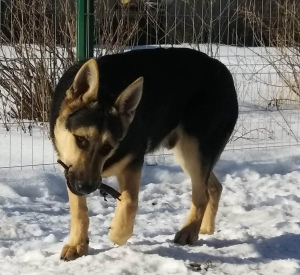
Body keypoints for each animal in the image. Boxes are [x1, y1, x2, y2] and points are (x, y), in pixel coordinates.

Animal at [49, 48, 239, 262]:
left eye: (108, 147)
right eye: (80, 139)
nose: (87, 187)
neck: (106, 89)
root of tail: (223, 69)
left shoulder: (133, 162)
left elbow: (130, 202)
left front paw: (118, 233)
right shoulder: (70, 169)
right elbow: (79, 210)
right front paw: (77, 244)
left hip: (194, 149)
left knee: (201, 195)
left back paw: (189, 232)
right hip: (189, 153)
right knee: (214, 187)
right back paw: (205, 229)